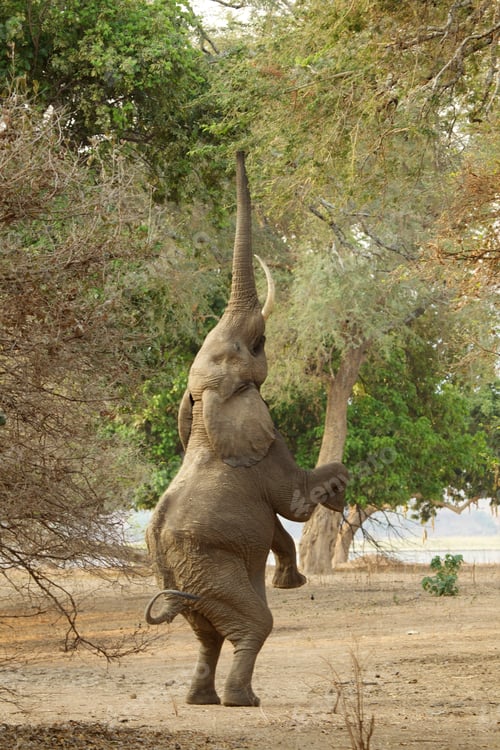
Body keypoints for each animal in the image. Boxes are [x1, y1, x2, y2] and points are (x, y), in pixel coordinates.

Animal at [145, 152, 348, 708]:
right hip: (210, 570)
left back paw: (202, 701)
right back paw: (242, 700)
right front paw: (339, 488)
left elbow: (278, 524)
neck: (205, 411)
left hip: (196, 581)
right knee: (253, 624)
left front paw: (292, 578)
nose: (237, 150)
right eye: (253, 346)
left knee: (207, 634)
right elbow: (291, 502)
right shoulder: (267, 446)